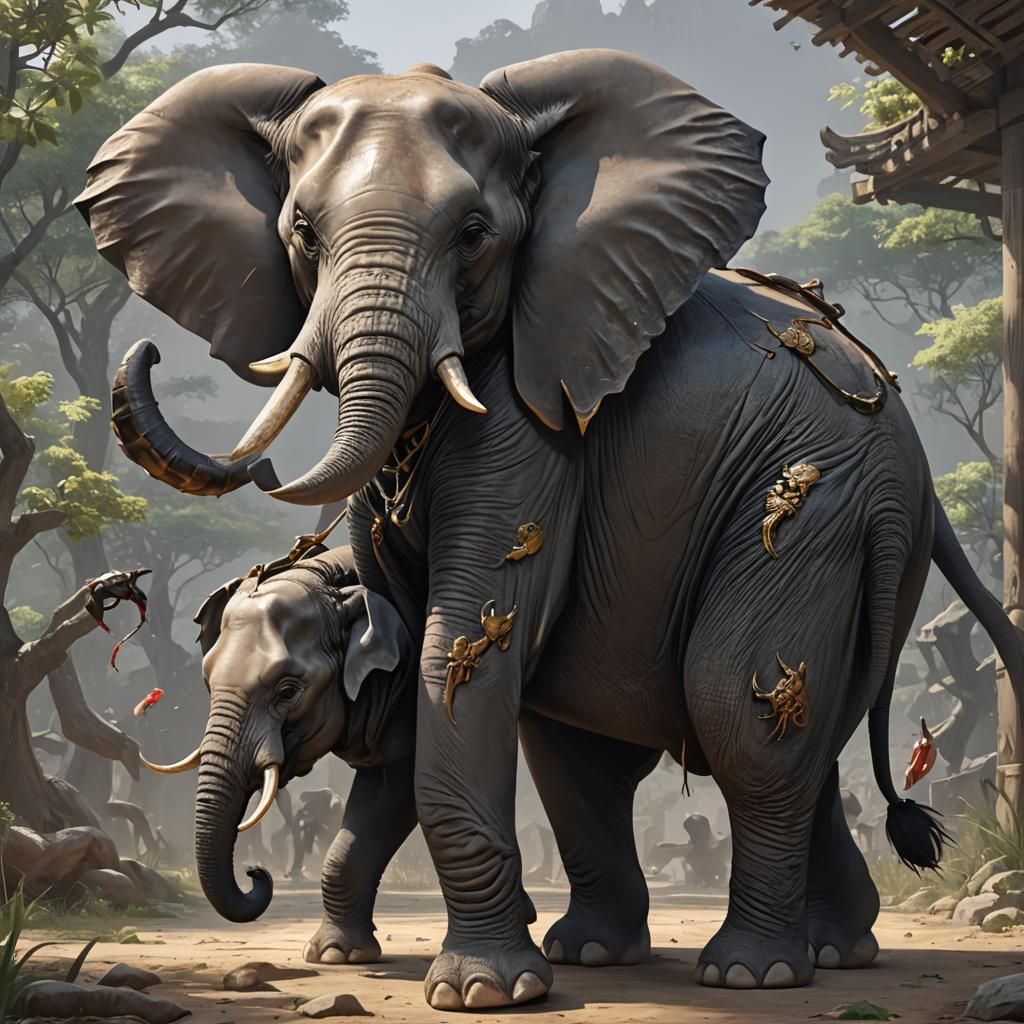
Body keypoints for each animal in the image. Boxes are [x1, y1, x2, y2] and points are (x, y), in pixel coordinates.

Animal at [76, 48, 1024, 1009]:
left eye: (472, 235)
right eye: (303, 231)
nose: (146, 356)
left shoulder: (534, 423)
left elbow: (456, 652)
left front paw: (481, 994)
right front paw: (355, 961)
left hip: (822, 504)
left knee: (739, 705)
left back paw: (752, 970)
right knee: (644, 744)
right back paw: (681, 952)